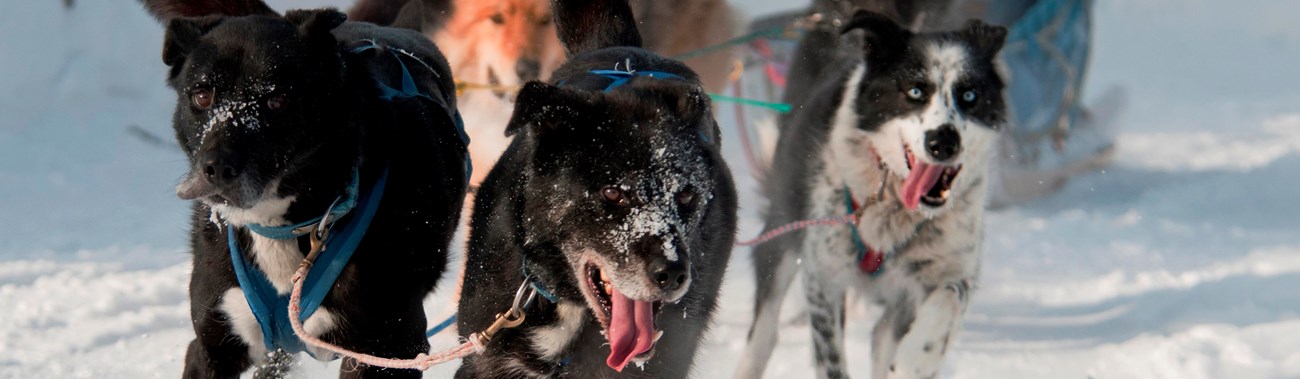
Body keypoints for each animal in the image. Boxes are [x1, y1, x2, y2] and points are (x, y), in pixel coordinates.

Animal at [738, 9, 1008, 379]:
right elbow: (831, 361)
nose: (943, 141)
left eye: (970, 95)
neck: (894, 203)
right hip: (782, 231)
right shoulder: (823, 278)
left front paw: (916, 358)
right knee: (764, 331)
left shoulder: (948, 273)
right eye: (914, 91)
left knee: (883, 333)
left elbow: (948, 302)